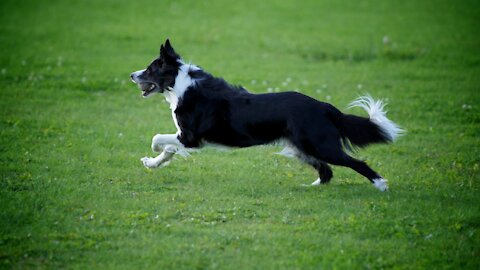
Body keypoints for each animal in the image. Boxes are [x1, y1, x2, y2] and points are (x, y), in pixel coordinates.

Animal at [129, 39, 404, 192]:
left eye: (150, 69)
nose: (132, 75)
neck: (180, 83)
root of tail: (322, 105)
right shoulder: (186, 137)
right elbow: (169, 149)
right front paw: (152, 163)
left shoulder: (190, 136)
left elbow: (158, 139)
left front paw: (153, 154)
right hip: (300, 147)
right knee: (326, 172)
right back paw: (311, 188)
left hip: (320, 144)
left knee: (356, 163)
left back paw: (381, 185)